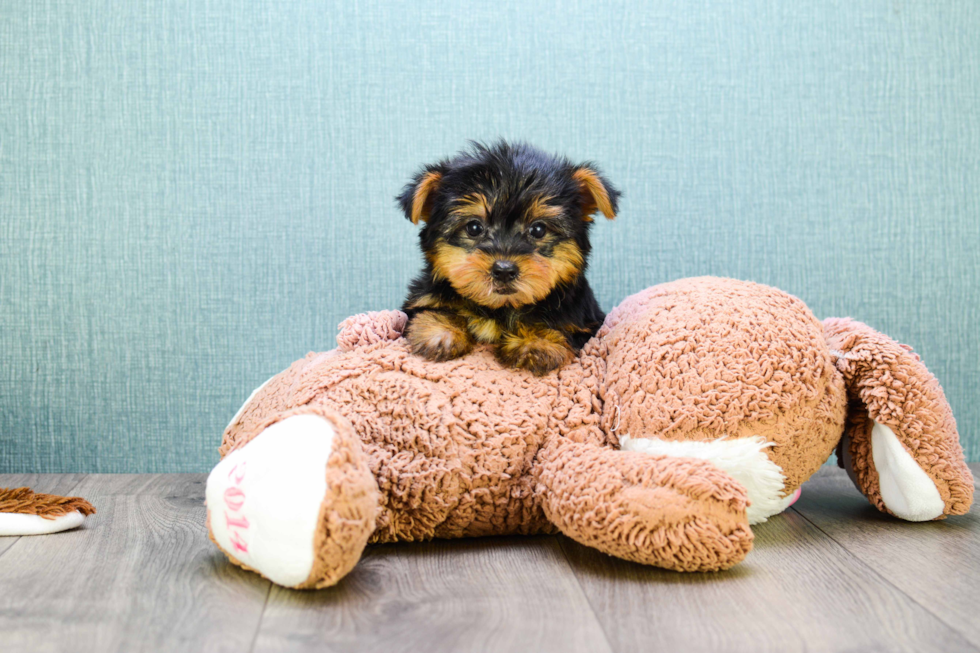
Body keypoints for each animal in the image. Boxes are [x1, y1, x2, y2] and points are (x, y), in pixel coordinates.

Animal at [394, 141, 616, 376]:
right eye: (474, 228)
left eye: (538, 230)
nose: (504, 270)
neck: (501, 308)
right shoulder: (421, 300)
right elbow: (430, 310)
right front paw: (441, 330)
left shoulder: (584, 323)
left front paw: (536, 342)